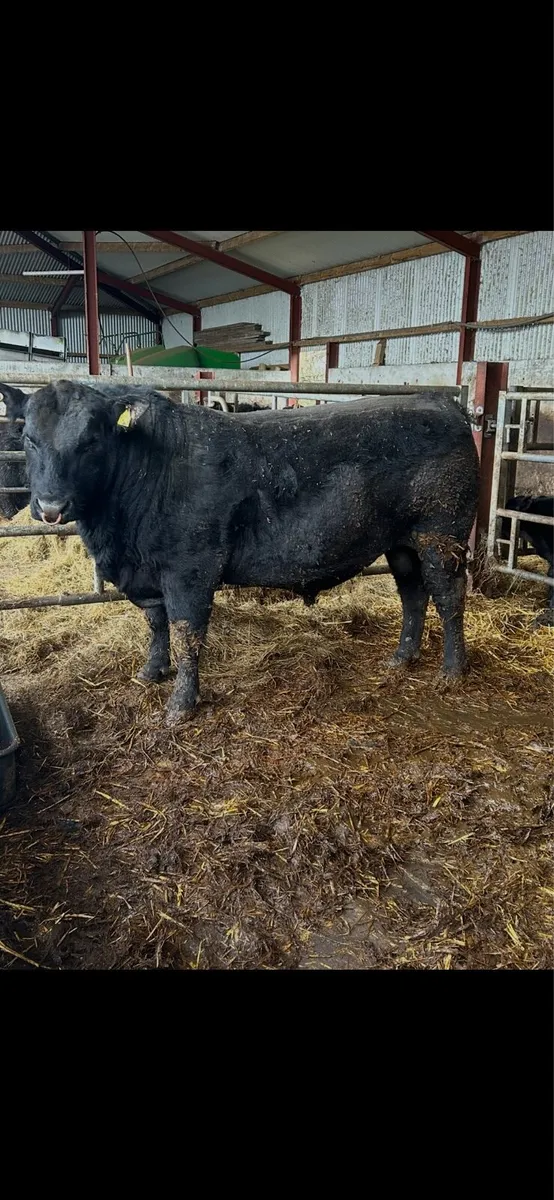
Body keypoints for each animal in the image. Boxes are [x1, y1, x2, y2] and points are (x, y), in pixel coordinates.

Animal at [22, 381, 479, 725]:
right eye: (28, 439)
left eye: (91, 440)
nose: (51, 506)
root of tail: (438, 400)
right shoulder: (148, 574)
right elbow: (156, 623)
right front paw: (151, 672)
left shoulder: (190, 569)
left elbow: (187, 633)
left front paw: (180, 706)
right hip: (401, 544)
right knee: (413, 595)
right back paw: (401, 658)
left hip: (441, 537)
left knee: (449, 597)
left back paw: (452, 672)